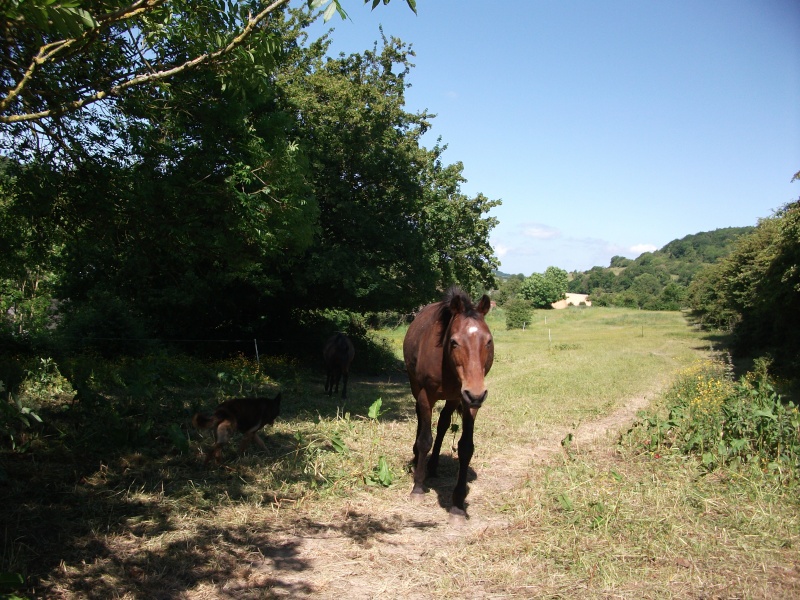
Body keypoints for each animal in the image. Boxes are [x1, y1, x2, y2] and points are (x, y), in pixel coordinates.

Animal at [404, 288, 490, 516]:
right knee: (421, 419)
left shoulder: (467, 401)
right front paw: (418, 487)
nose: (477, 394)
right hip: (416, 387)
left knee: (443, 424)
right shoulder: (426, 395)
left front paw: (458, 505)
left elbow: (466, 448)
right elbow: (425, 439)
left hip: (453, 399)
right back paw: (417, 459)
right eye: (454, 342)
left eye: (488, 341)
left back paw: (433, 466)